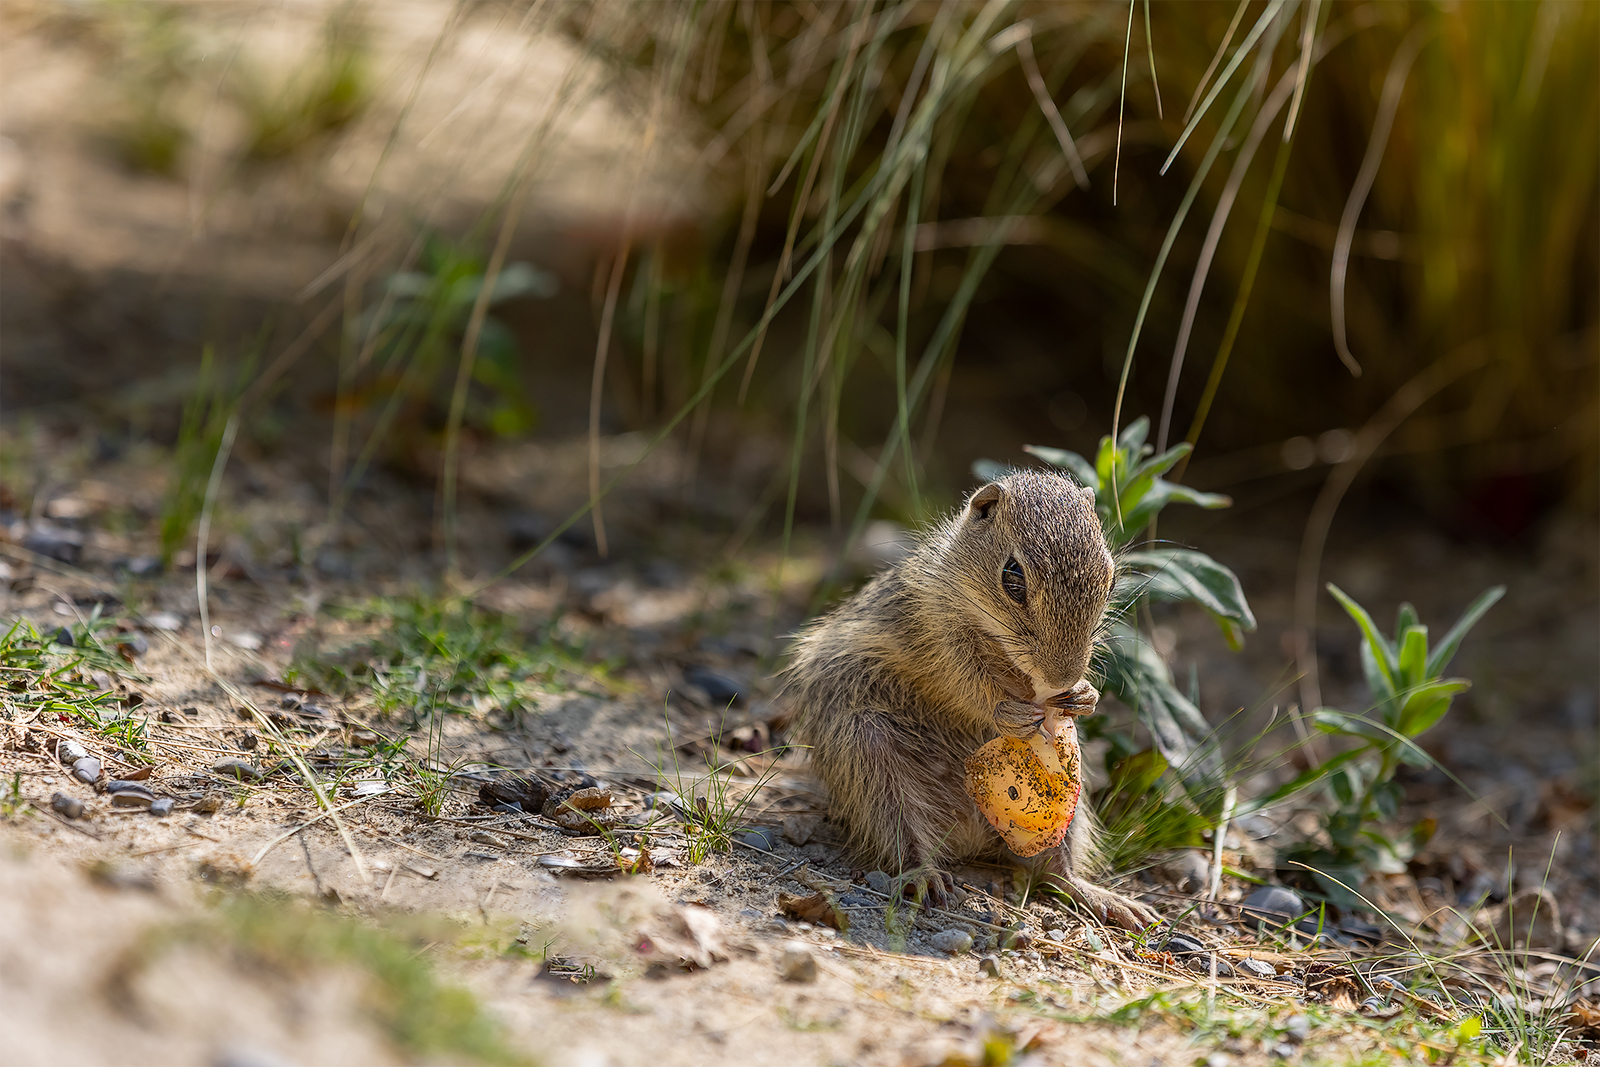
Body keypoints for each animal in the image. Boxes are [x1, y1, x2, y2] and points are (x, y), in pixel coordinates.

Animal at [790, 470, 1158, 927]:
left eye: (1110, 580)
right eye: (1012, 576)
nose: (1063, 676)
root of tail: (968, 834)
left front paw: (1085, 695)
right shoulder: (935, 631)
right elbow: (964, 683)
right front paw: (1004, 711)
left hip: (1066, 803)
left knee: (1054, 870)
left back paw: (1101, 897)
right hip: (867, 755)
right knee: (901, 836)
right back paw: (925, 876)